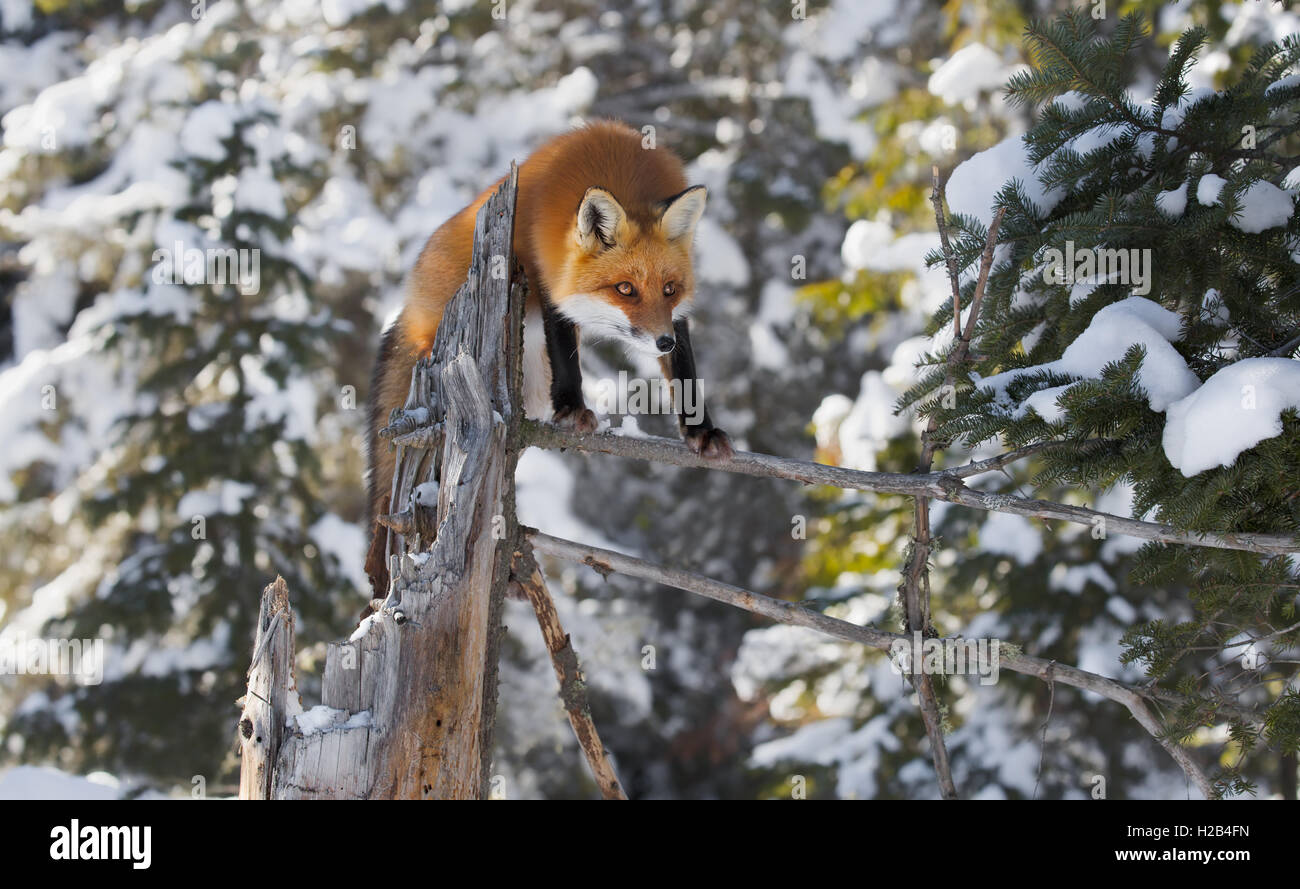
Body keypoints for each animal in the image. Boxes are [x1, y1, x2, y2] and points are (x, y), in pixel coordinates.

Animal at [365, 120, 732, 595]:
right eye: (625, 289)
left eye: (669, 289)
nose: (662, 343)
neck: (619, 169)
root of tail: (411, 303)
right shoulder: (546, 272)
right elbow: (565, 353)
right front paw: (573, 408)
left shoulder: (676, 319)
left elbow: (685, 372)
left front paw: (700, 430)